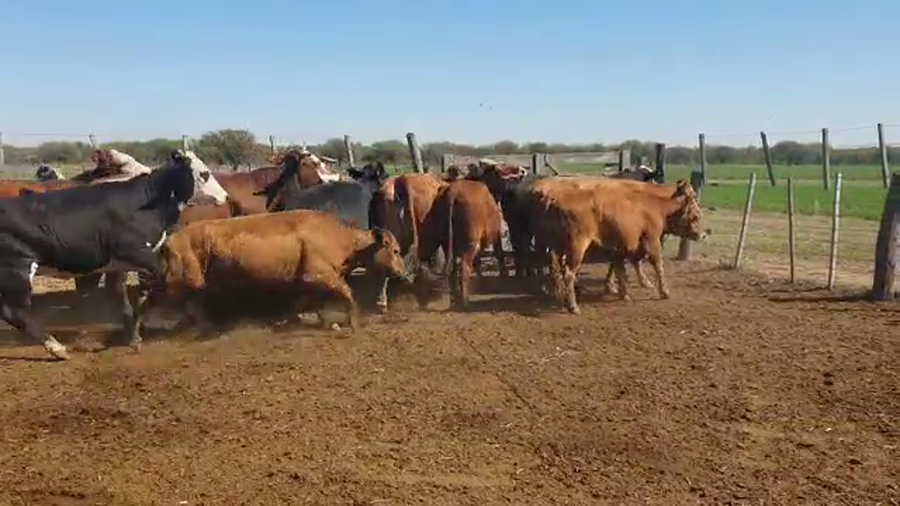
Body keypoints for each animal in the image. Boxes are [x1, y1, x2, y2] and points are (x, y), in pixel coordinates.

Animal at [0, 149, 229, 360]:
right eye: (205, 173)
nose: (225, 196)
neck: (146, 201)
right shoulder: (141, 256)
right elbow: (161, 286)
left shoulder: (119, 266)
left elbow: (128, 298)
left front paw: (133, 336)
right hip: (17, 269)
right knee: (14, 312)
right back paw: (57, 348)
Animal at [124, 210, 410, 348]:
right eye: (395, 250)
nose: (404, 274)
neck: (339, 238)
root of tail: (170, 239)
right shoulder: (319, 274)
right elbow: (347, 295)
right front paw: (353, 324)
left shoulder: (307, 281)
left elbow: (309, 303)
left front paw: (324, 323)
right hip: (177, 282)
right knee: (144, 299)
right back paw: (135, 339)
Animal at [413, 179, 504, 310]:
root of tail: (453, 192)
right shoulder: (496, 235)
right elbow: (498, 253)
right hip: (470, 244)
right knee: (464, 268)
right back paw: (465, 301)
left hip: (446, 243)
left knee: (452, 270)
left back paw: (454, 299)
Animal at [535, 178, 705, 314]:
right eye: (695, 217)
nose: (703, 235)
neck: (656, 206)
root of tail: (555, 201)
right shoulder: (652, 240)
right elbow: (657, 266)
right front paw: (664, 292)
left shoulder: (618, 248)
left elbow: (621, 269)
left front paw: (622, 292)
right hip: (577, 247)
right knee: (569, 273)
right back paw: (573, 306)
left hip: (557, 248)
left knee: (556, 271)